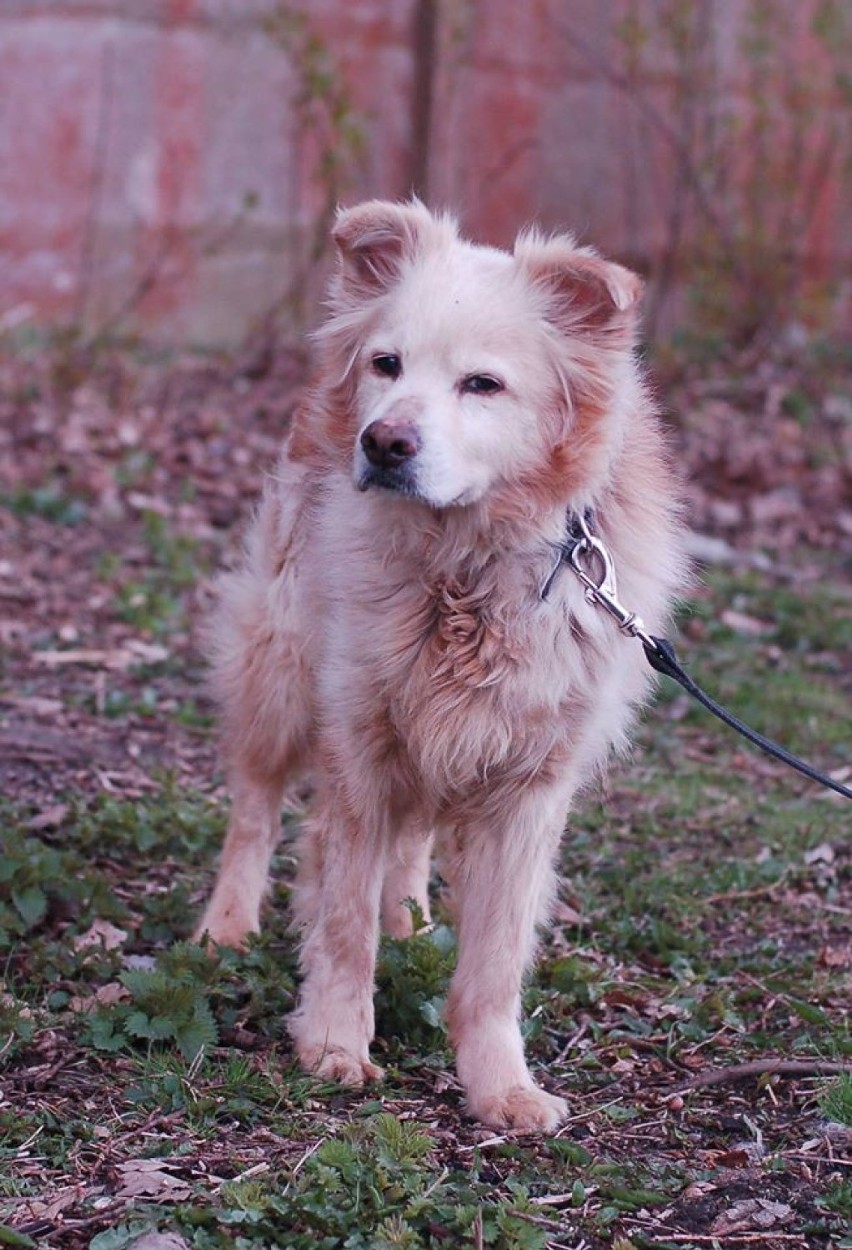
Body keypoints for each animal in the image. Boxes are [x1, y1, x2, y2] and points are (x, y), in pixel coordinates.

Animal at [196, 197, 684, 1135]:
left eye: (482, 385)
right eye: (387, 364)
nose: (383, 442)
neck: (467, 563)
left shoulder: (530, 785)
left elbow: (494, 959)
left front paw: (499, 1085)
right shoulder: (359, 738)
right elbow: (342, 918)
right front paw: (334, 1042)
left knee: (411, 833)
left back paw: (413, 919)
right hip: (281, 663)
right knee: (257, 806)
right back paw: (226, 925)